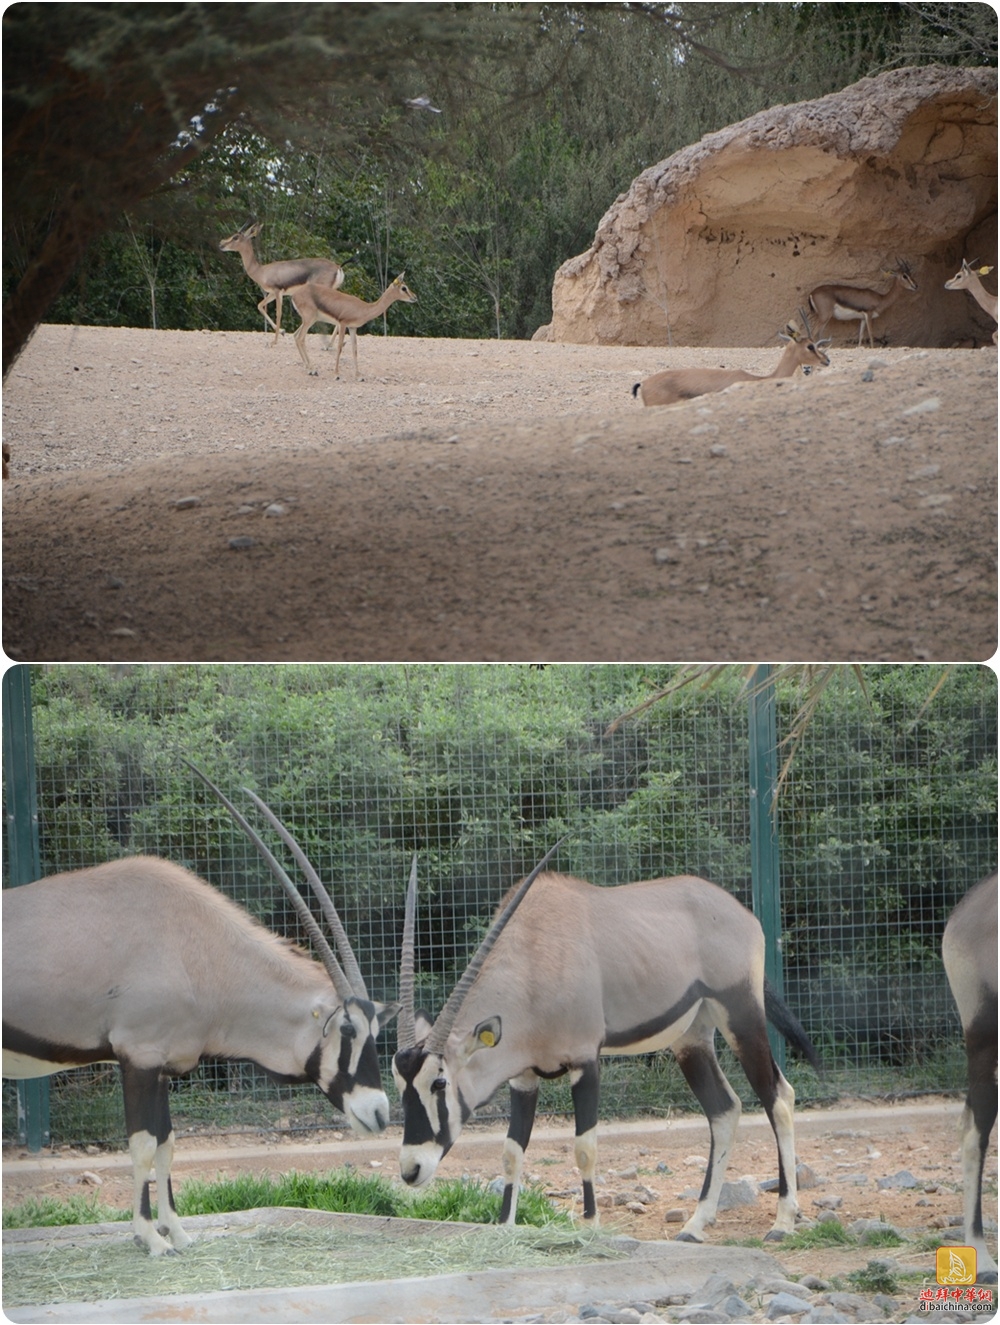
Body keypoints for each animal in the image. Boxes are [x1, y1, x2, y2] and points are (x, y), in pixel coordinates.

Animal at [3, 768, 402, 1250]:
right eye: (346, 1031)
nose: (379, 1113)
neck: (199, 951)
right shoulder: (138, 1058)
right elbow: (141, 1145)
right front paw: (149, 1238)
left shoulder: (161, 1068)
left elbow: (166, 1145)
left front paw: (176, 1231)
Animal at [286, 274, 418, 378]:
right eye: (404, 288)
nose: (415, 297)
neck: (363, 308)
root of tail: (295, 295)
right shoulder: (343, 324)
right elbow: (339, 347)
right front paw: (336, 374)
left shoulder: (353, 328)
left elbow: (354, 349)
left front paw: (358, 375)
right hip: (309, 320)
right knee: (300, 338)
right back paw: (312, 370)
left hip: (307, 321)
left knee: (295, 336)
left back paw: (308, 367)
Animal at [392, 858, 821, 1240]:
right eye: (401, 1087)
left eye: (439, 1083)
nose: (411, 1170)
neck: (534, 957)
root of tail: (742, 914)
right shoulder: (524, 1077)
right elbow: (512, 1151)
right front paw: (505, 1228)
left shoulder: (586, 1062)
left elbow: (585, 1147)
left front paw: (590, 1225)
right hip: (692, 1037)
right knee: (723, 1109)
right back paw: (696, 1224)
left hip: (740, 1014)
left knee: (778, 1097)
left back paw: (783, 1220)